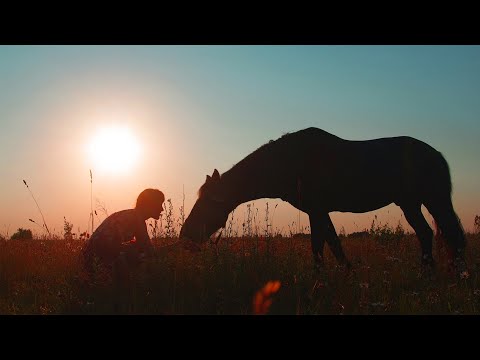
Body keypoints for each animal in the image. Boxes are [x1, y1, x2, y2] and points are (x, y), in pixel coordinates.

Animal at [179, 128, 464, 272]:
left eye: (208, 202)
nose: (185, 238)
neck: (289, 162)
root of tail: (436, 154)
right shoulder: (318, 212)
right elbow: (332, 242)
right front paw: (345, 271)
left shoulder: (316, 210)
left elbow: (320, 245)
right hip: (410, 203)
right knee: (426, 233)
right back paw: (428, 271)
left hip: (435, 200)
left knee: (451, 233)